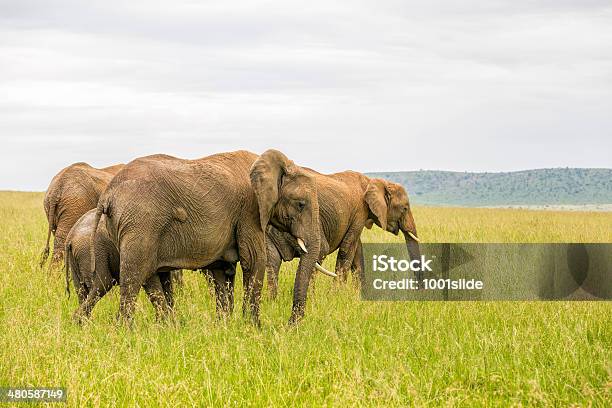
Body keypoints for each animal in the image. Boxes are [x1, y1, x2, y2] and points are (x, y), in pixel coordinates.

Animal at [74, 150, 338, 326]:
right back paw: (126, 330)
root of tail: (108, 194)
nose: (290, 325)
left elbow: (223, 272)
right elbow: (254, 261)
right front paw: (253, 329)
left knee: (132, 279)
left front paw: (225, 327)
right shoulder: (250, 210)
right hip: (140, 224)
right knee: (133, 277)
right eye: (301, 204)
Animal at [266, 171, 424, 298]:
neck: (372, 182)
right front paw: (335, 295)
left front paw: (360, 294)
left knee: (273, 261)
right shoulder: (360, 211)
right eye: (405, 208)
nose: (418, 291)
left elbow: (357, 251)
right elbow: (347, 249)